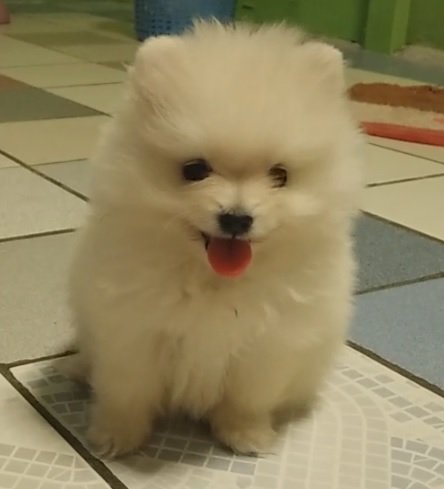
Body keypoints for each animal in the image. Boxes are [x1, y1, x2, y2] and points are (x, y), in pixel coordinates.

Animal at [68, 21, 363, 457]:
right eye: (194, 169)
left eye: (280, 175)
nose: (237, 218)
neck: (212, 279)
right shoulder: (133, 332)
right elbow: (127, 390)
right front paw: (116, 436)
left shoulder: (266, 346)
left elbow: (248, 397)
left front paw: (246, 435)